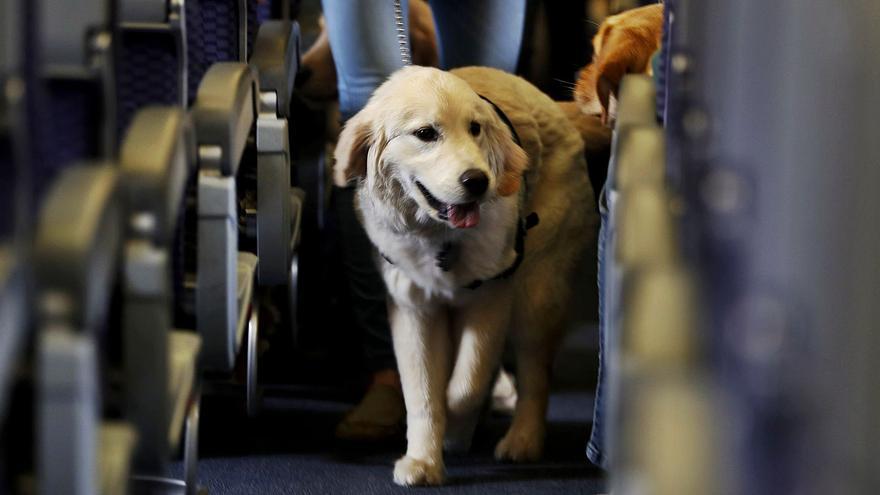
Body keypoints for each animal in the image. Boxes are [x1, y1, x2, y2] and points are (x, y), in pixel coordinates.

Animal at [336, 64, 600, 486]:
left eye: (475, 128)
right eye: (426, 133)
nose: (477, 181)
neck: (441, 237)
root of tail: (551, 104)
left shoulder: (491, 297)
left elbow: (465, 385)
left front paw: (456, 431)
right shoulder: (413, 308)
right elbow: (423, 392)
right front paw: (423, 461)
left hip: (537, 293)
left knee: (535, 374)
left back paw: (522, 440)